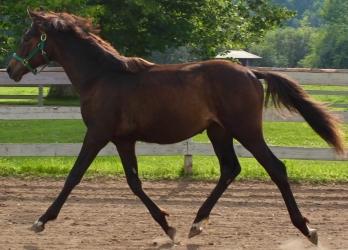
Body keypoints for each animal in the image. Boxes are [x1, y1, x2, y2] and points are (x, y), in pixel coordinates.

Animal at [6, 10, 344, 245]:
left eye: (26, 36)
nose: (11, 70)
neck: (102, 77)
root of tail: (251, 73)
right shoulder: (123, 140)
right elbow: (134, 183)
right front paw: (169, 226)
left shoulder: (97, 134)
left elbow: (73, 176)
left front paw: (41, 221)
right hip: (218, 131)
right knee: (230, 169)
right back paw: (196, 224)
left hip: (246, 130)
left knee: (276, 168)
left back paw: (307, 228)